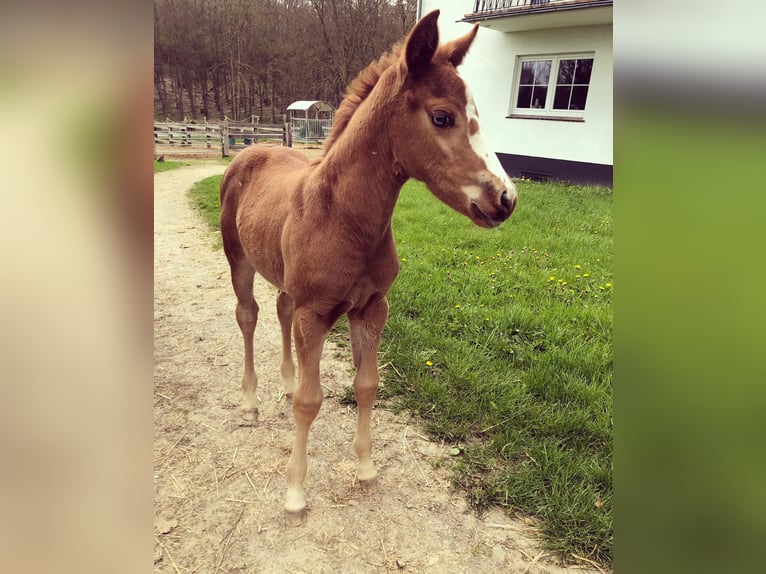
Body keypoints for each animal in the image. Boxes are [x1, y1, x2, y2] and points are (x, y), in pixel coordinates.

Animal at [220, 9, 517, 526]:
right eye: (443, 117)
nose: (505, 199)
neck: (343, 217)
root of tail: (251, 149)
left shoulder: (372, 308)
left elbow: (366, 385)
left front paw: (365, 468)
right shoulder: (316, 314)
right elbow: (311, 402)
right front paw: (295, 493)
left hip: (285, 280)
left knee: (279, 309)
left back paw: (283, 383)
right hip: (239, 260)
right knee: (249, 316)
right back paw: (251, 402)